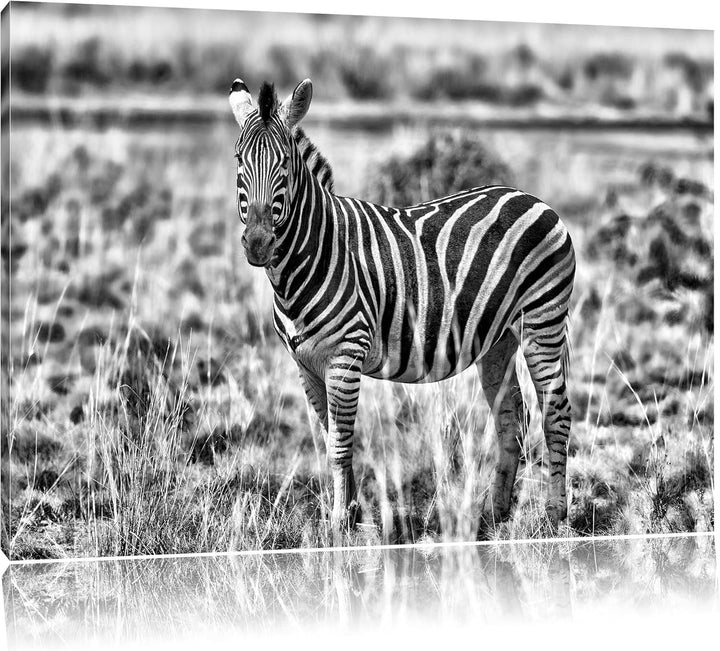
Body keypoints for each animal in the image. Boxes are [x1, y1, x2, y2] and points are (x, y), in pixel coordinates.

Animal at [229, 77, 576, 534]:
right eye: (238, 159)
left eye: (284, 162)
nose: (258, 243)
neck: (308, 259)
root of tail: (535, 199)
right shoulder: (306, 365)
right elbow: (329, 439)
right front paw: (350, 514)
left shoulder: (345, 357)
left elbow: (340, 444)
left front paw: (338, 524)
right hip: (498, 339)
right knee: (511, 420)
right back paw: (493, 514)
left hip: (542, 323)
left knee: (556, 413)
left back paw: (555, 516)